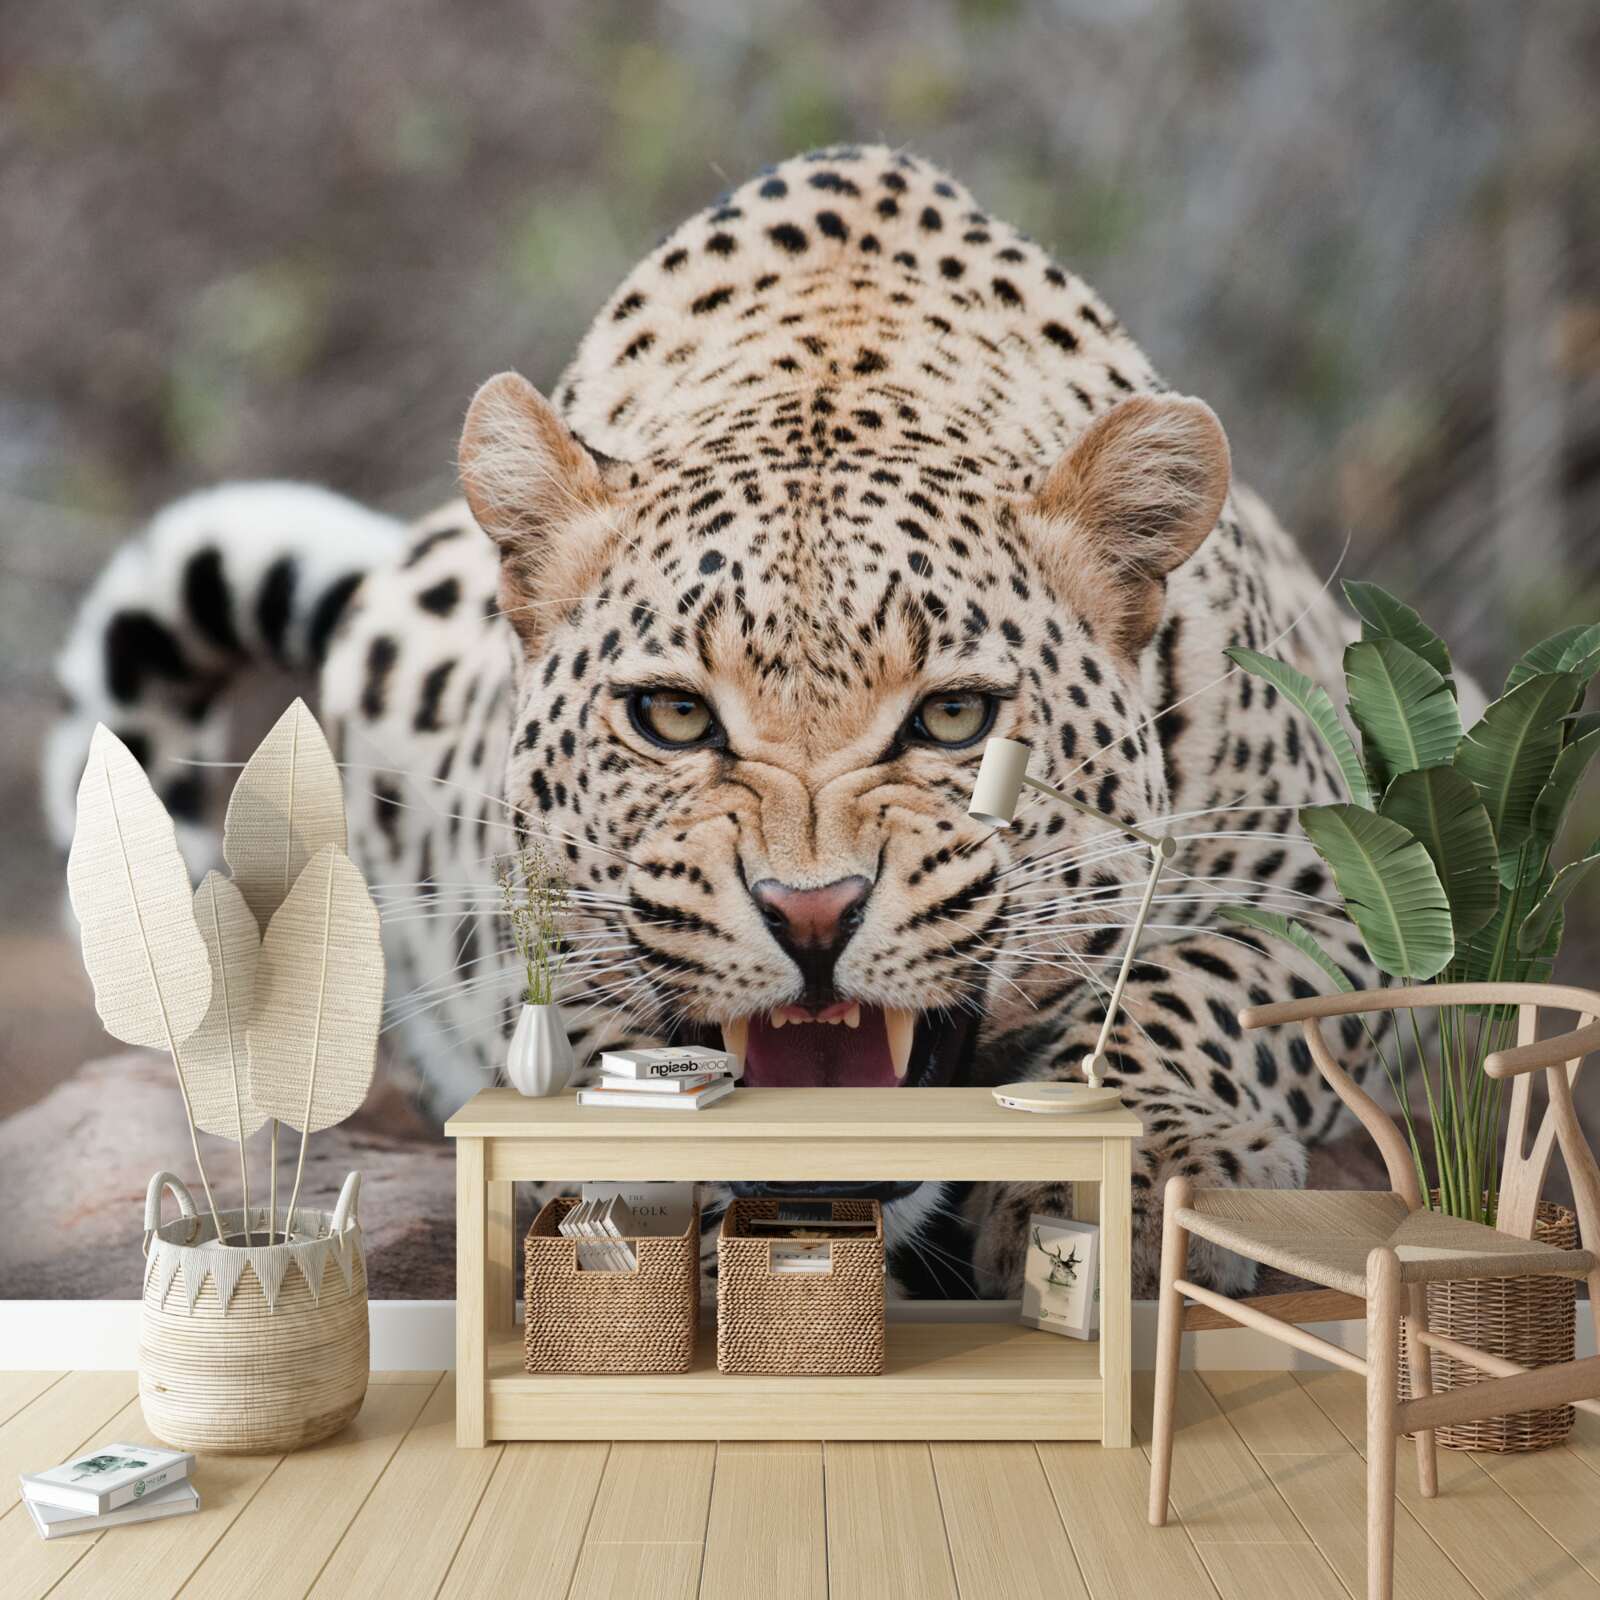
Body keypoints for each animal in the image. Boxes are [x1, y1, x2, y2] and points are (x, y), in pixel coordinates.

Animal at [48, 145, 1376, 1298]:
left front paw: (1140, 1181)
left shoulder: (1360, 884)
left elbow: (1193, 985)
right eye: (675, 716)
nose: (812, 913)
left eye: (952, 717)